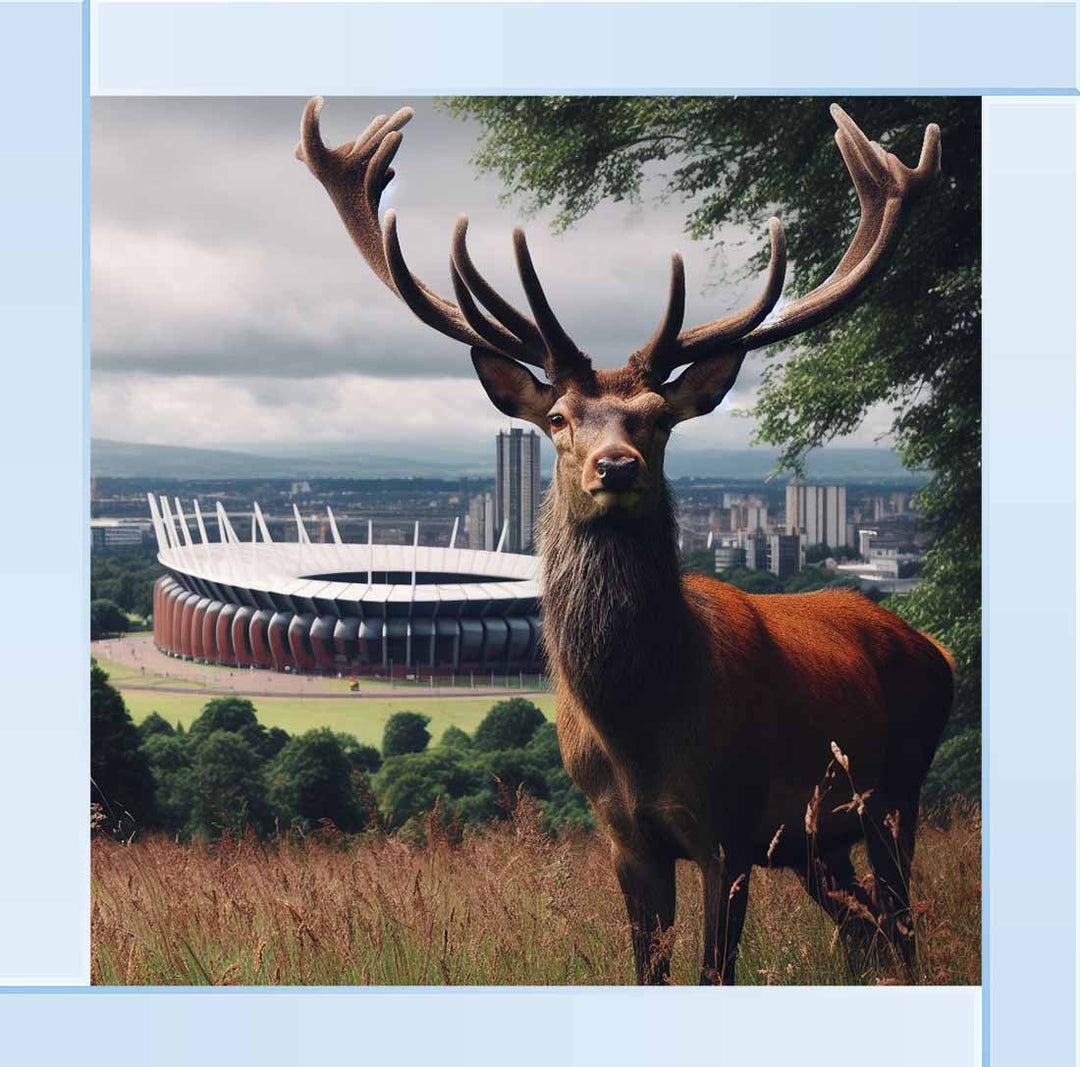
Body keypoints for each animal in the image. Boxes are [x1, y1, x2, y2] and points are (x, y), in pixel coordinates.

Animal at [296, 98, 954, 985]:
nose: (615, 465)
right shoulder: (625, 836)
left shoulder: (729, 828)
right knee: (863, 928)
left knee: (901, 925)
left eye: (658, 418)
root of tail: (935, 648)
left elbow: (714, 971)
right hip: (820, 841)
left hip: (894, 795)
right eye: (559, 417)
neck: (644, 723)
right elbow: (649, 970)